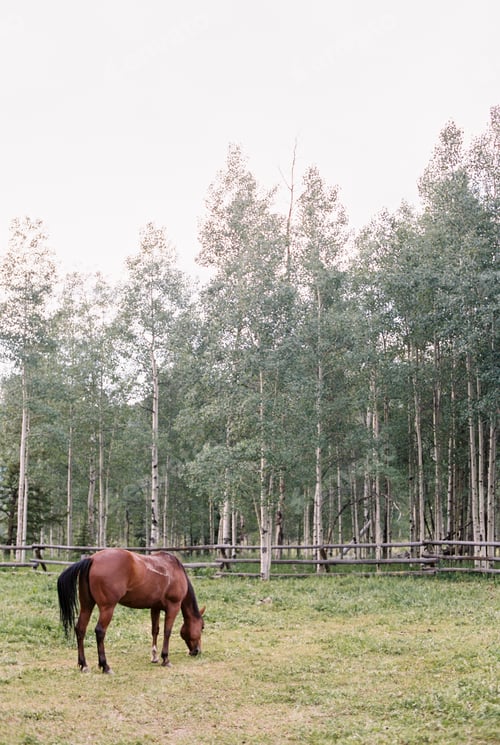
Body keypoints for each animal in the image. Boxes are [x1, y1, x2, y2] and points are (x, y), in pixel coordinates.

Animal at [57, 548, 205, 673]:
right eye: (202, 627)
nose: (197, 651)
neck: (174, 569)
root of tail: (92, 559)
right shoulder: (173, 606)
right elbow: (167, 632)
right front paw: (165, 659)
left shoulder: (155, 607)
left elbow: (155, 630)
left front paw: (154, 657)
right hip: (107, 608)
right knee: (100, 631)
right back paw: (105, 666)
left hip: (87, 605)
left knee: (80, 629)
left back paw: (84, 665)